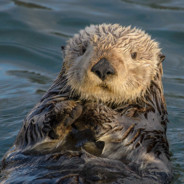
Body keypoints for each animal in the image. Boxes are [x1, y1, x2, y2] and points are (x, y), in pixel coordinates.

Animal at [0, 23, 172, 183]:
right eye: (83, 49)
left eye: (134, 54)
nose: (103, 67)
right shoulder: (43, 109)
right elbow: (32, 126)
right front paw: (67, 110)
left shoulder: (149, 129)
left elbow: (131, 133)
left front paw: (91, 110)